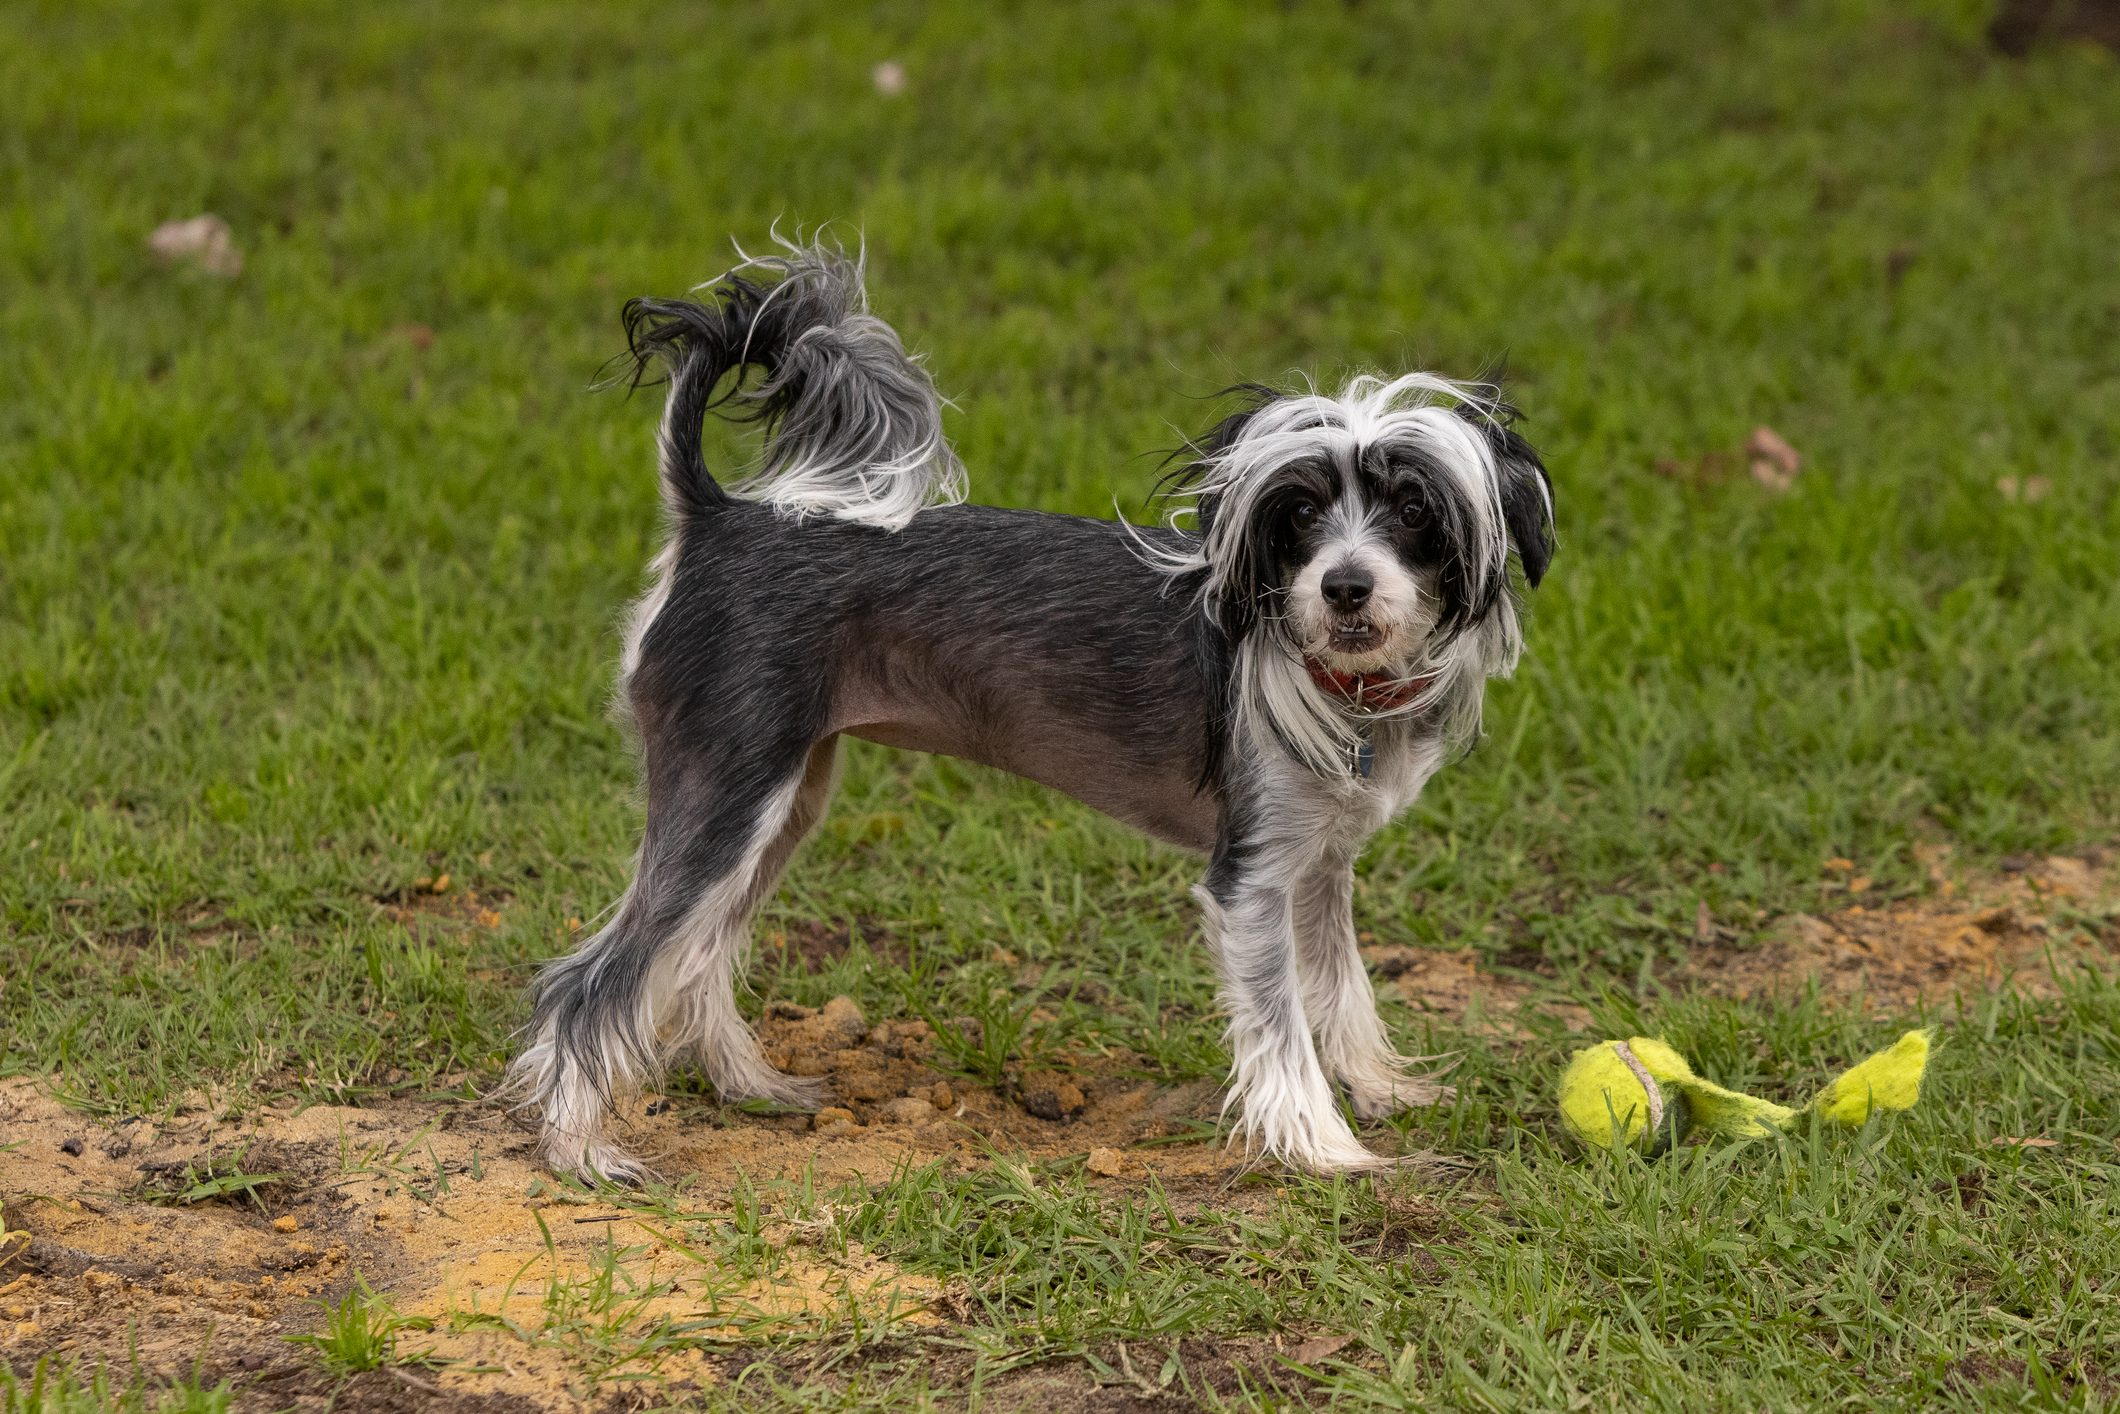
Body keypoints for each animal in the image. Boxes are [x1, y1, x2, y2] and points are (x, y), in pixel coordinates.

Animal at [500, 240, 1560, 1187]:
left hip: (782, 800)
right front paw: (1325, 1148)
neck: (1338, 679)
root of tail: (719, 517)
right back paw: (580, 1149)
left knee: (697, 956)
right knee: (595, 979)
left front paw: (1382, 1091)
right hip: (727, 793)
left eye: (1414, 512)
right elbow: (1282, 1025)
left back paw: (749, 1086)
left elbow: (1342, 990)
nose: (1343, 588)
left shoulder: (1320, 867)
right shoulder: (1252, 880)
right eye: (1298, 514)